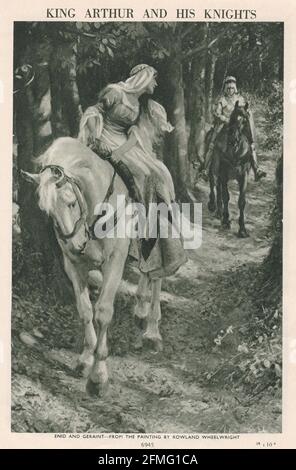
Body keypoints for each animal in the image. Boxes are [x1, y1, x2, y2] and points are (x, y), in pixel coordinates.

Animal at [206, 100, 252, 237]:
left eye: (244, 120)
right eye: (232, 119)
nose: (233, 139)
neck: (235, 151)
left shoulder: (243, 175)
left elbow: (241, 201)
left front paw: (242, 229)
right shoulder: (224, 173)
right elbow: (226, 196)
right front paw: (226, 221)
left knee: (218, 187)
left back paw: (219, 211)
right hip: (214, 168)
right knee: (213, 183)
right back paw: (213, 206)